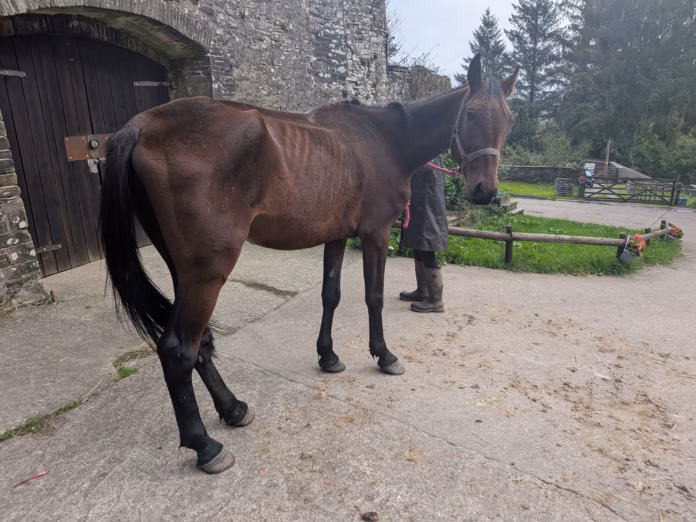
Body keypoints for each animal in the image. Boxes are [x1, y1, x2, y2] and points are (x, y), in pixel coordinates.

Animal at [100, 55, 518, 473]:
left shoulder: (336, 236)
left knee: (199, 343)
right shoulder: (375, 233)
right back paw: (205, 445)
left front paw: (328, 356)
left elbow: (330, 295)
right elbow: (374, 297)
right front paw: (384, 355)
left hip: (185, 271)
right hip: (207, 272)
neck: (384, 140)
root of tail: (141, 126)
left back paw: (233, 408)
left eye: (509, 118)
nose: (485, 191)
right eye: (472, 114)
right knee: (178, 349)